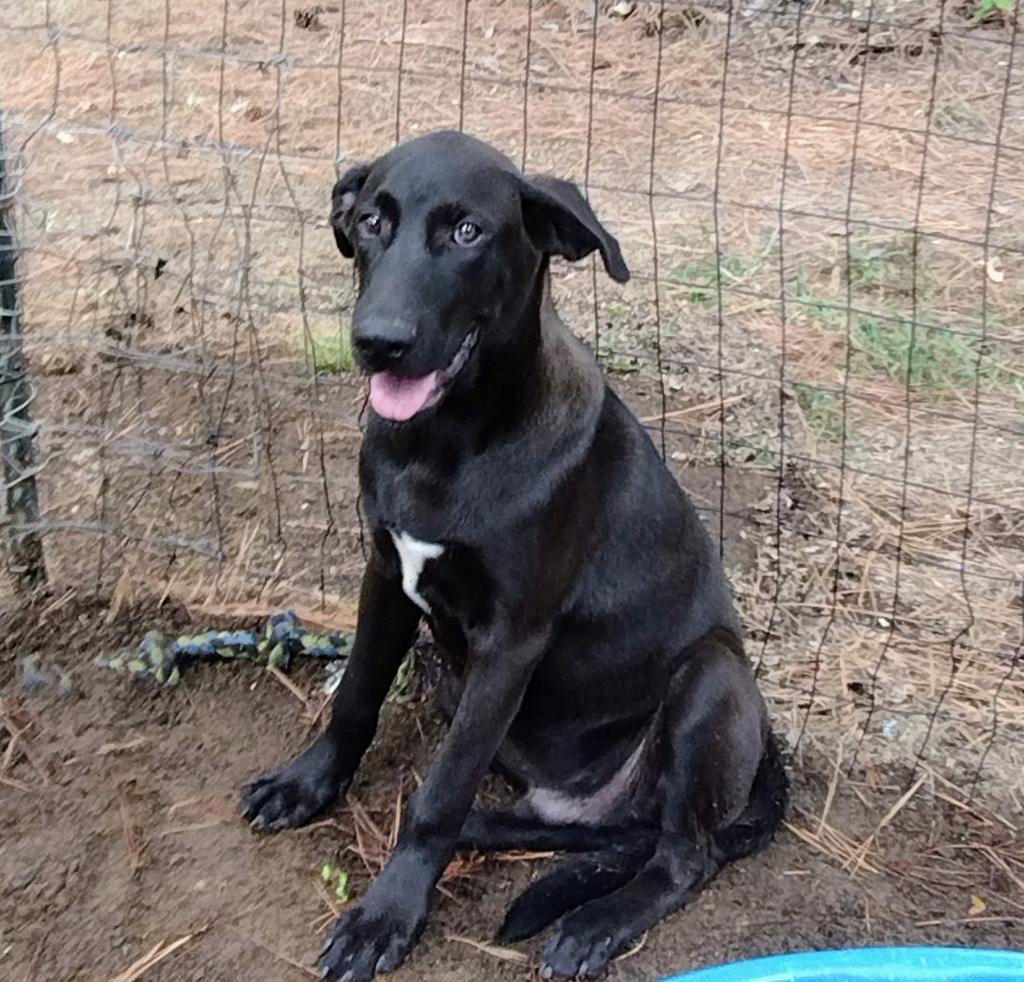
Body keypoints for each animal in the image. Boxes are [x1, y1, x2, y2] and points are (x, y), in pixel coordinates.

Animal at [243, 130, 786, 982]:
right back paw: (496, 835)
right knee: (597, 830)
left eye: (468, 233)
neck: (444, 445)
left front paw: (386, 916)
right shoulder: (385, 578)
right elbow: (356, 696)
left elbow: (439, 793)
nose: (377, 342)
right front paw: (310, 782)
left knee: (681, 858)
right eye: (370, 222)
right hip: (456, 683)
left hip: (712, 678)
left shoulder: (510, 642)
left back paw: (596, 922)